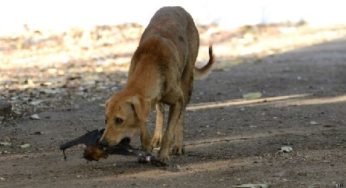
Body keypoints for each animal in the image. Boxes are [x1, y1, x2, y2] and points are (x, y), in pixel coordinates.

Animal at [99, 6, 214, 161]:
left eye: (119, 120)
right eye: (106, 120)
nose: (102, 143)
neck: (151, 61)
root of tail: (177, 7)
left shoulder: (177, 101)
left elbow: (170, 131)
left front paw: (163, 154)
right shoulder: (145, 102)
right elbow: (143, 123)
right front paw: (147, 144)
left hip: (187, 82)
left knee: (181, 116)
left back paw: (178, 145)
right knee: (160, 111)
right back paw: (156, 137)